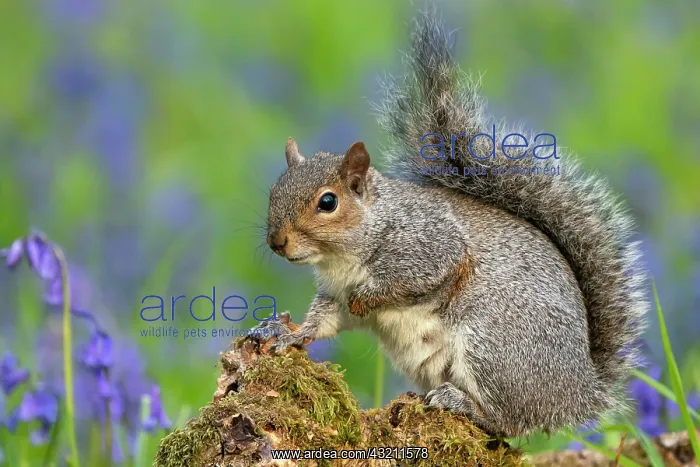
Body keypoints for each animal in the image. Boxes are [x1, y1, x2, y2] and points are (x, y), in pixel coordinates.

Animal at [256, 9, 648, 438]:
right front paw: (287, 332)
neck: (344, 254)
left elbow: (420, 277)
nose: (277, 242)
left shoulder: (428, 244)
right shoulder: (333, 295)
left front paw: (368, 297)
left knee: (507, 422)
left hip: (493, 345)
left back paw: (461, 402)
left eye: (328, 202)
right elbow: (323, 322)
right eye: (274, 189)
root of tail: (579, 393)